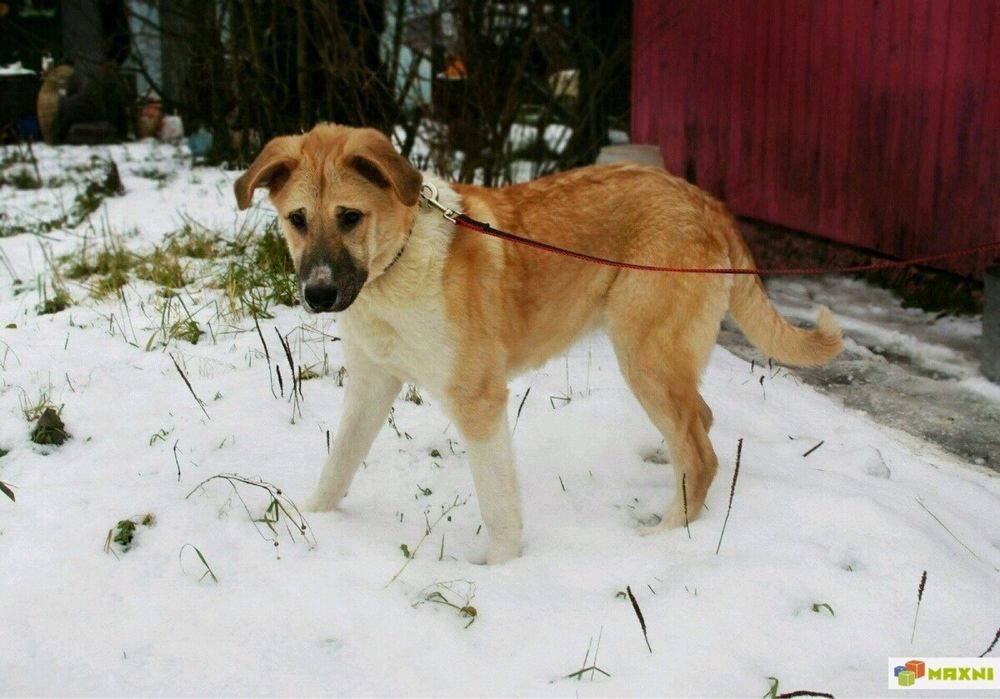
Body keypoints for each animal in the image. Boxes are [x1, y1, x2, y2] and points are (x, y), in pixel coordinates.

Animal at [234, 124, 844, 564]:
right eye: (297, 219)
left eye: (350, 217)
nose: (318, 295)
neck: (398, 265)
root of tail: (706, 202)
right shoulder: (370, 385)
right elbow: (337, 467)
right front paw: (314, 519)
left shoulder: (479, 402)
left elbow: (500, 506)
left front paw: (501, 572)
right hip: (659, 360)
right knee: (700, 422)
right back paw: (662, 461)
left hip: (643, 354)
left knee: (703, 451)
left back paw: (664, 535)